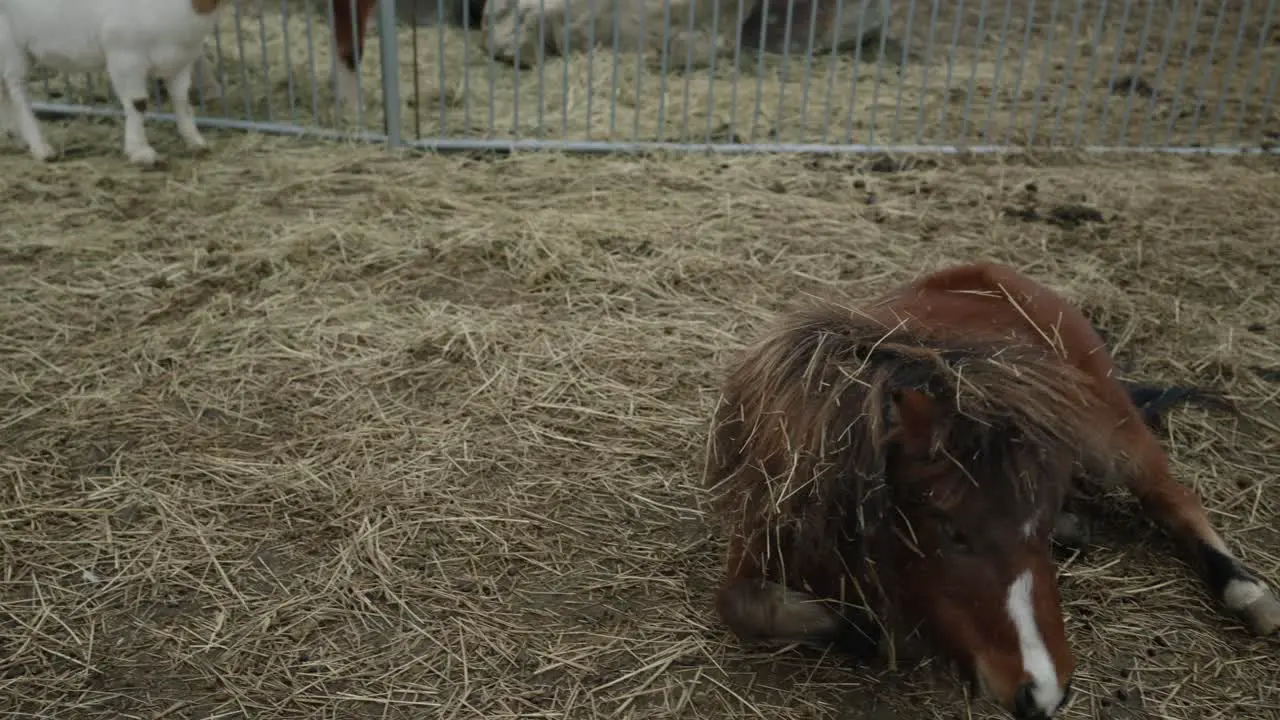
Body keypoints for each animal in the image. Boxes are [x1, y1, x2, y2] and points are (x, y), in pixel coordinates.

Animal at [1, 0, 230, 163]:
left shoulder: (181, 61)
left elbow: (182, 101)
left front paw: (195, 142)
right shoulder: (125, 56)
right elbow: (138, 103)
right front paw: (140, 152)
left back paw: (16, 137)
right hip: (11, 45)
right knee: (17, 90)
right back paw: (41, 148)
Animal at [711, 262, 1280, 717]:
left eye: (1037, 531)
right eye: (950, 530)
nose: (1046, 693)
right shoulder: (755, 543)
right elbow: (747, 608)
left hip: (1110, 428)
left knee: (1171, 497)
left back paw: (1246, 589)